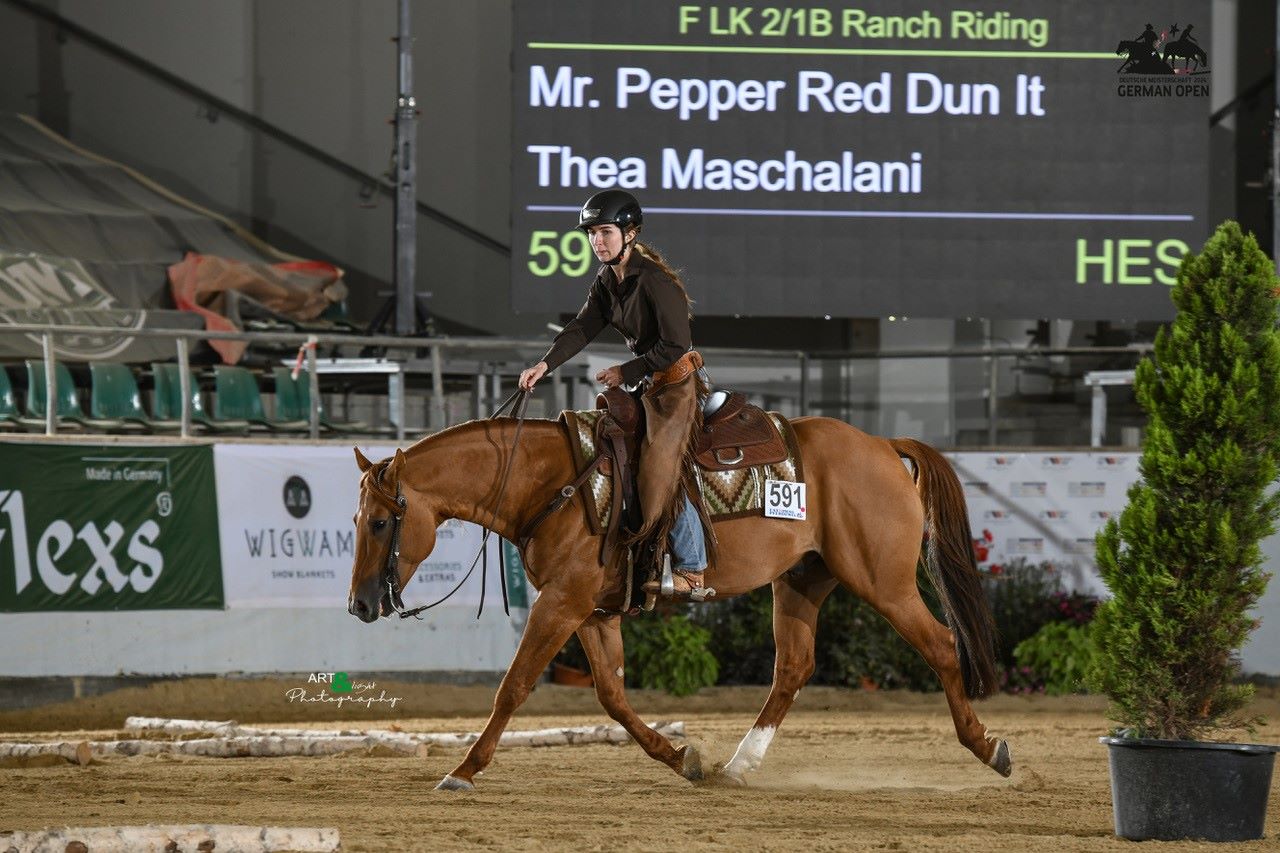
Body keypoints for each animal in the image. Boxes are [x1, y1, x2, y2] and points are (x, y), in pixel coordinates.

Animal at [348, 409, 1008, 783]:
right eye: (356, 520)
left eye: (380, 522)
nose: (357, 605)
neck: (557, 483)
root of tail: (882, 446)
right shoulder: (588, 609)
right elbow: (612, 697)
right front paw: (680, 758)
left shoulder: (560, 604)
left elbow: (512, 688)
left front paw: (462, 770)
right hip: (801, 580)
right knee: (793, 668)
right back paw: (739, 766)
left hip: (883, 583)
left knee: (942, 645)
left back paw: (989, 748)